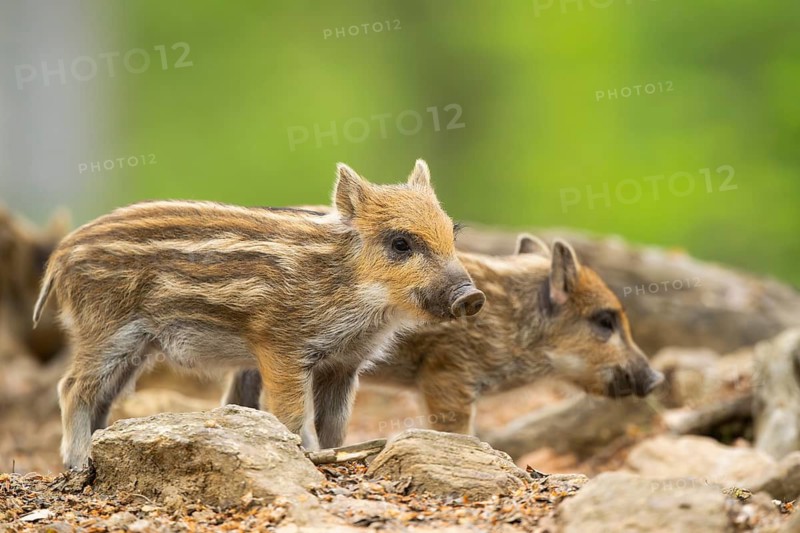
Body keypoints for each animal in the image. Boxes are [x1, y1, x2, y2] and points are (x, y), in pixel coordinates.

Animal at [33, 160, 485, 469]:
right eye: (400, 243)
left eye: (451, 233)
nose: (472, 296)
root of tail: (60, 256)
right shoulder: (281, 347)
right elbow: (293, 414)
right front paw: (309, 457)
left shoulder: (344, 365)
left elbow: (335, 422)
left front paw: (334, 454)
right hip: (105, 330)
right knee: (71, 387)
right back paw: (77, 463)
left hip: (134, 347)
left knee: (103, 396)